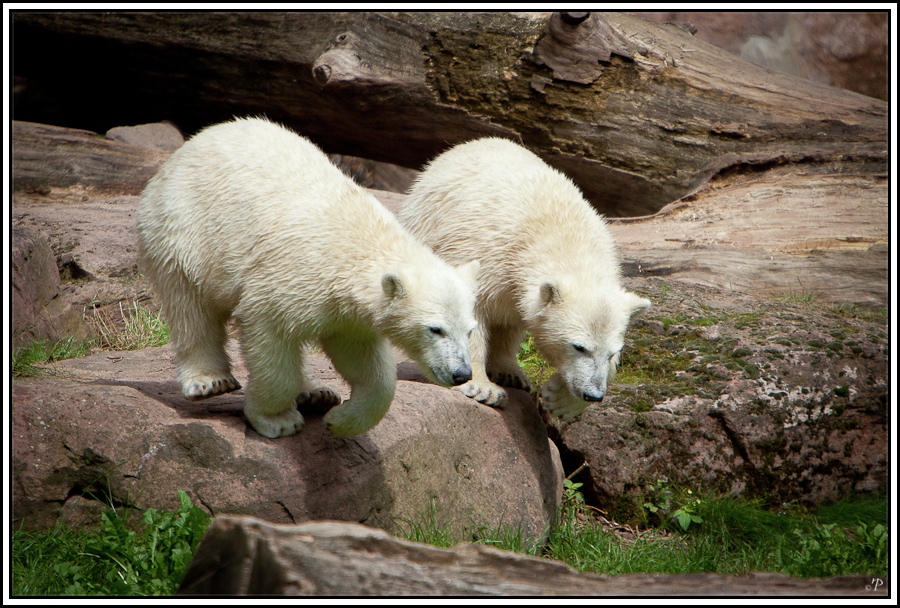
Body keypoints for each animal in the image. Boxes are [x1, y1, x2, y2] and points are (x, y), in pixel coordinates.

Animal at [135, 116, 478, 436]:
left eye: (470, 330)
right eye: (435, 329)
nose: (462, 374)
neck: (356, 245)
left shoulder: (348, 311)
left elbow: (362, 358)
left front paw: (341, 420)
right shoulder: (289, 277)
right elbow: (272, 339)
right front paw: (277, 420)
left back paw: (316, 394)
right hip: (183, 231)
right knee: (190, 306)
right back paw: (210, 380)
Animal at [398, 138, 652, 422]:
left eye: (613, 352)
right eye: (579, 347)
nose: (593, 395)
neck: (562, 235)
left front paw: (561, 400)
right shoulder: (482, 253)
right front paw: (481, 387)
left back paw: (511, 371)